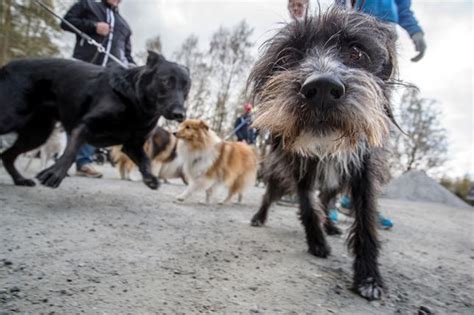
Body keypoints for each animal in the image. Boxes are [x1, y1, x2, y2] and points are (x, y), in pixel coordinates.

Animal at [0, 51, 189, 190]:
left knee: (7, 155)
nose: (180, 114)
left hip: (37, 134)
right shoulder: (83, 127)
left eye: (187, 87)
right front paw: (55, 173)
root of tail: (8, 65)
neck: (134, 102)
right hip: (11, 119)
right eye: (166, 81)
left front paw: (150, 178)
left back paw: (20, 180)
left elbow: (146, 160)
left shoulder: (133, 146)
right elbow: (71, 152)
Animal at [248, 6, 400, 300]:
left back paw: (330, 225)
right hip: (279, 175)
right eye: (289, 56)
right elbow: (307, 204)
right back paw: (260, 217)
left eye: (356, 52)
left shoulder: (363, 169)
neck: (326, 148)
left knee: (327, 199)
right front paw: (316, 242)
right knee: (271, 195)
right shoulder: (298, 167)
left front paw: (369, 276)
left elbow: (365, 218)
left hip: (337, 181)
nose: (321, 90)